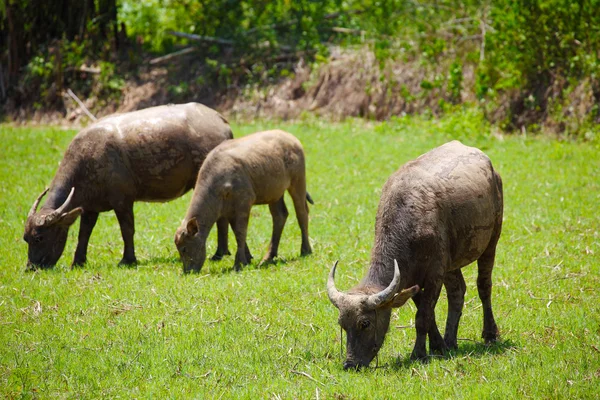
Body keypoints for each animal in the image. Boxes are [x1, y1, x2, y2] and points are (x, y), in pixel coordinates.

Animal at [24, 101, 234, 270]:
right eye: (26, 238)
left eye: (39, 238)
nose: (31, 268)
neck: (87, 161)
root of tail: (220, 120)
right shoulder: (90, 207)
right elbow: (84, 233)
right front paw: (78, 261)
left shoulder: (122, 201)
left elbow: (127, 230)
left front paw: (128, 259)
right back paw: (221, 252)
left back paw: (219, 253)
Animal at [175, 130, 312, 274]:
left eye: (184, 248)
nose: (188, 271)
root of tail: (291, 137)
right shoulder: (229, 210)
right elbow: (236, 231)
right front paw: (247, 258)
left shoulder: (244, 203)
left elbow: (241, 232)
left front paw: (239, 263)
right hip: (275, 192)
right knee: (280, 215)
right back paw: (268, 257)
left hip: (298, 180)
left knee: (302, 212)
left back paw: (305, 250)